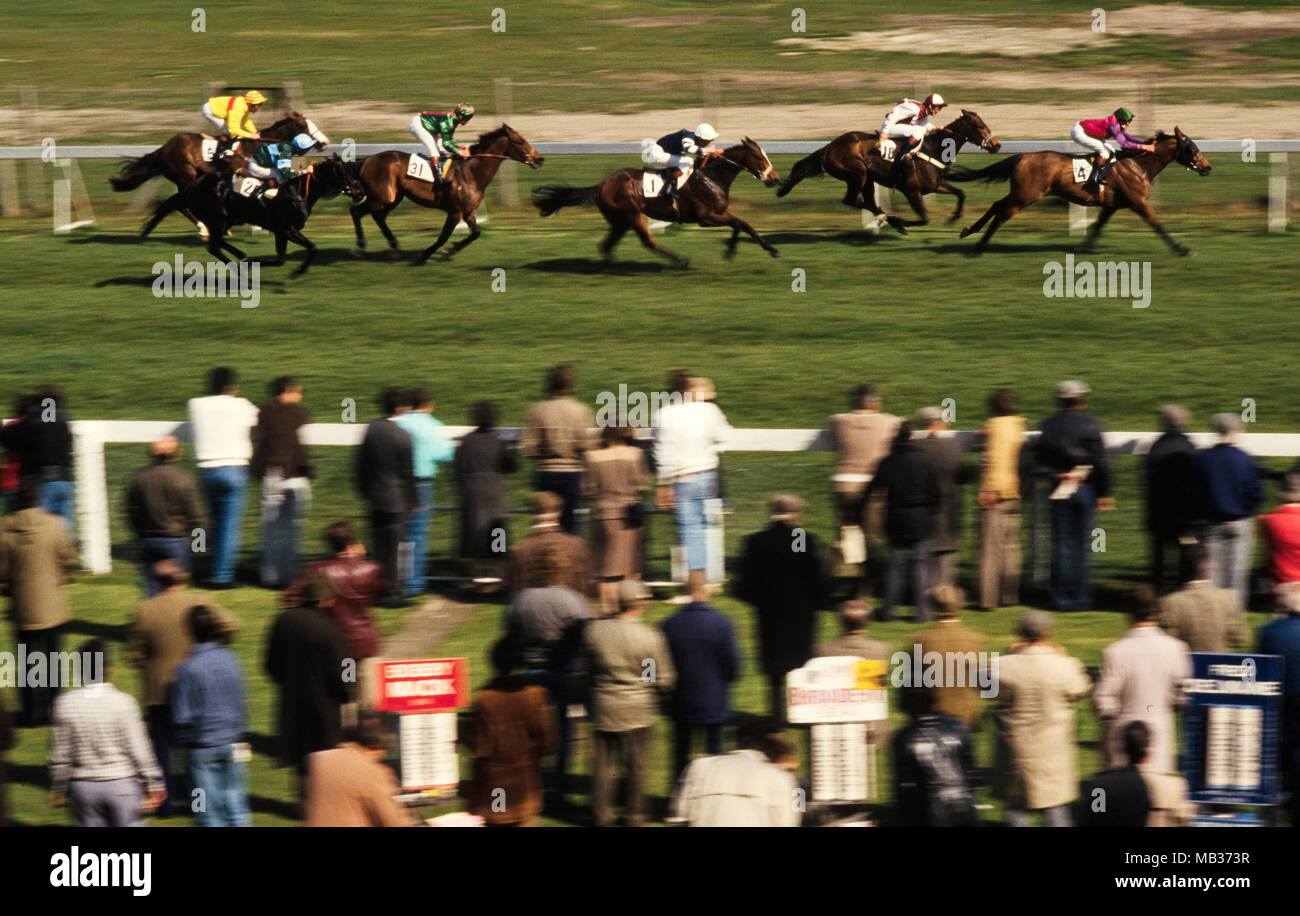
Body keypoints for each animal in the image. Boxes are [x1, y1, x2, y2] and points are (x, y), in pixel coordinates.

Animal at [351, 123, 543, 265]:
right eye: (519, 141)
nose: (539, 159)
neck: (471, 172)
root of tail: (367, 160)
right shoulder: (455, 211)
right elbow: (443, 236)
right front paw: (425, 256)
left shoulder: (468, 211)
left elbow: (476, 232)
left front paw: (450, 250)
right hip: (382, 197)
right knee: (357, 211)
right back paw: (360, 247)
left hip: (392, 198)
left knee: (377, 217)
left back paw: (393, 248)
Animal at [530, 135, 774, 266]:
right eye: (759, 157)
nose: (775, 179)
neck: (711, 177)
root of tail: (600, 185)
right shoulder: (706, 218)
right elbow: (739, 224)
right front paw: (731, 250)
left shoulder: (721, 212)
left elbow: (744, 224)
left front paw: (768, 249)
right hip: (632, 215)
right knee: (648, 242)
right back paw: (681, 261)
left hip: (620, 221)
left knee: (607, 245)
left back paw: (612, 267)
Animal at [774, 109, 998, 229]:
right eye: (979, 126)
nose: (996, 145)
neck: (933, 149)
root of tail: (827, 148)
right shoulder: (911, 190)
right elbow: (924, 219)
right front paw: (902, 222)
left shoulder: (935, 185)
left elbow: (960, 193)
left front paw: (954, 218)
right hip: (858, 174)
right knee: (853, 200)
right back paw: (891, 220)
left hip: (867, 179)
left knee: (866, 202)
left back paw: (886, 218)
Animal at [951, 126, 1211, 253]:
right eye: (1192, 148)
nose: (1207, 167)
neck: (1138, 165)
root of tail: (1023, 156)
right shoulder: (1138, 203)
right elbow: (1157, 225)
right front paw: (1182, 249)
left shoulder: (1112, 205)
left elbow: (1098, 226)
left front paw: (1086, 247)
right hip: (1024, 197)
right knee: (1001, 215)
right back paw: (977, 247)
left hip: (1020, 193)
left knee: (997, 205)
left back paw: (968, 231)